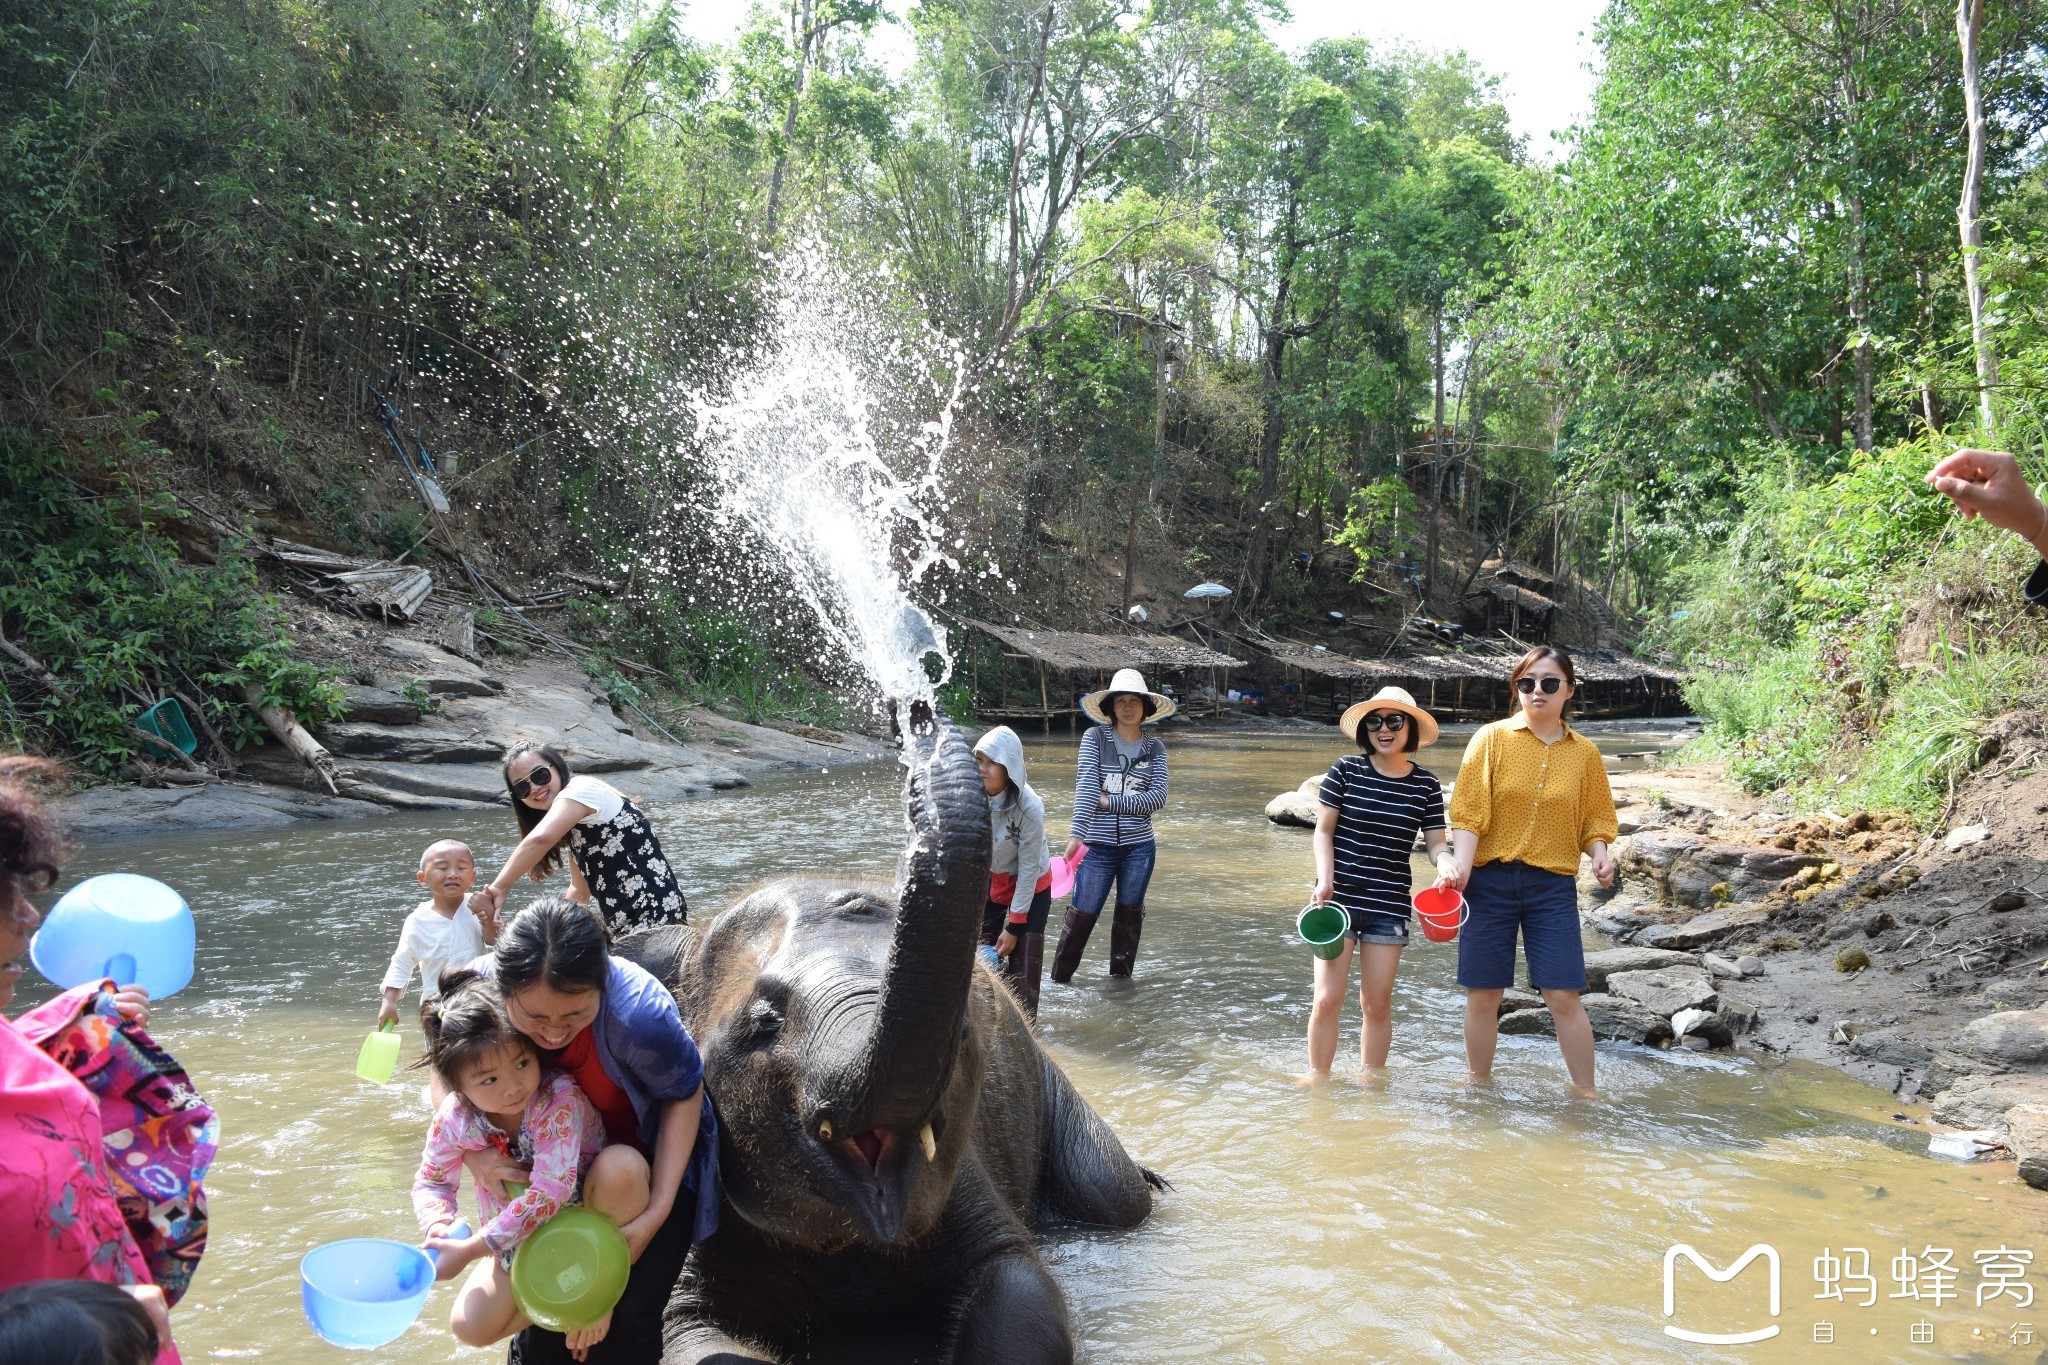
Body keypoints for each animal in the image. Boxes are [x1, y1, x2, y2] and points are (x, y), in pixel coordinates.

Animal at [606, 703, 1163, 1365]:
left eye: (964, 1030)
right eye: (764, 1023)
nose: (918, 709)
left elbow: (1023, 1293)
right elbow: (689, 1335)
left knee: (1114, 1195)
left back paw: (1153, 1180)